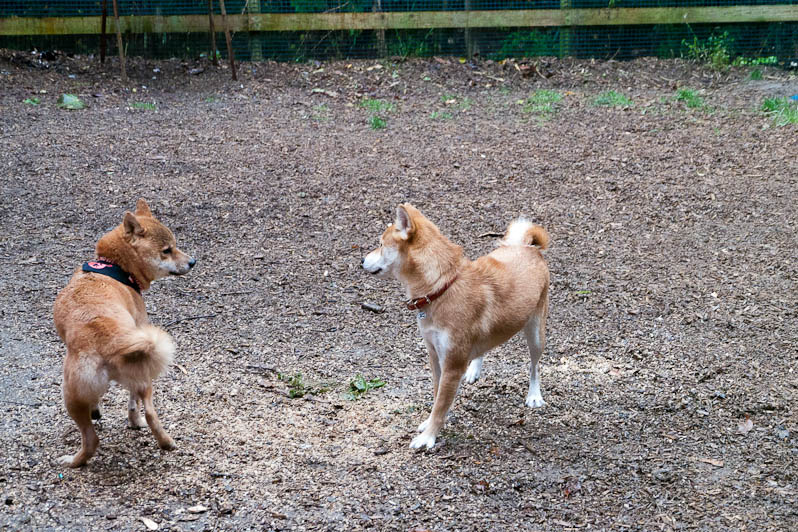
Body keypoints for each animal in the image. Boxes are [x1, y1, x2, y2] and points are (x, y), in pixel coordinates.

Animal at [54, 200, 196, 466]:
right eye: (167, 250)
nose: (193, 262)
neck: (115, 266)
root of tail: (108, 342)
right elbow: (132, 404)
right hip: (140, 375)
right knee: (147, 412)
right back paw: (164, 441)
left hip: (71, 397)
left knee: (91, 439)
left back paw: (74, 459)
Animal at [362, 204, 552, 448]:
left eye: (381, 244)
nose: (361, 261)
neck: (441, 287)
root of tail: (528, 248)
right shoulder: (435, 355)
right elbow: (437, 396)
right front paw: (430, 423)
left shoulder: (452, 364)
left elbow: (441, 404)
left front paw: (428, 437)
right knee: (485, 346)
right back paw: (474, 369)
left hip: (536, 333)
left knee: (534, 366)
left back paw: (534, 395)